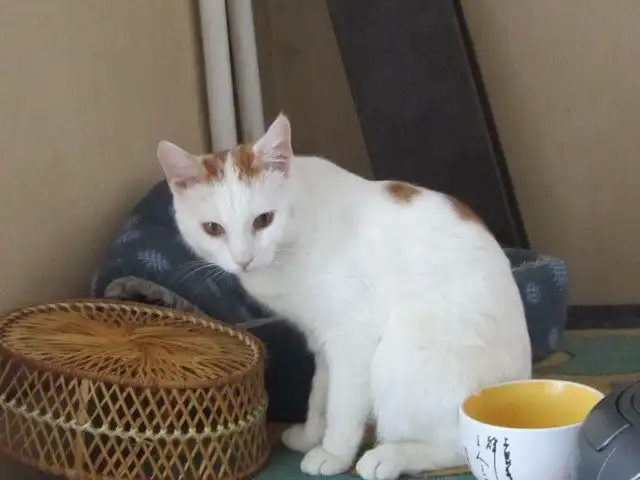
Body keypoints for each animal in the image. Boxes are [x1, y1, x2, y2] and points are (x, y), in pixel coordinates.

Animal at [157, 114, 532, 480]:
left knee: (463, 446)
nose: (243, 259)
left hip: (401, 354)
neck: (292, 242)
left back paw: (389, 457)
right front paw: (310, 435)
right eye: (213, 229)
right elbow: (319, 394)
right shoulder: (321, 339)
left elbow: (342, 404)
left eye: (264, 220)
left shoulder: (353, 336)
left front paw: (334, 454)